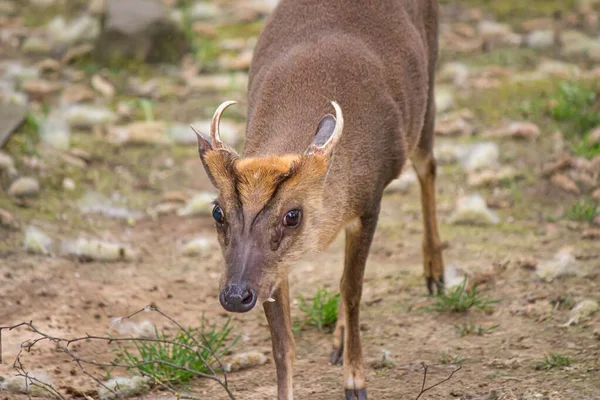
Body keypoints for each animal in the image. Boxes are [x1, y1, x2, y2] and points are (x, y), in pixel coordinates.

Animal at [190, 0, 442, 400]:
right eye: (217, 211)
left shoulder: (369, 203)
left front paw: (356, 382)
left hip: (427, 89)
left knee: (428, 165)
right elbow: (282, 343)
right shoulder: (274, 267)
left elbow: (352, 290)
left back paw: (436, 275)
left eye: (293, 215)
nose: (234, 296)